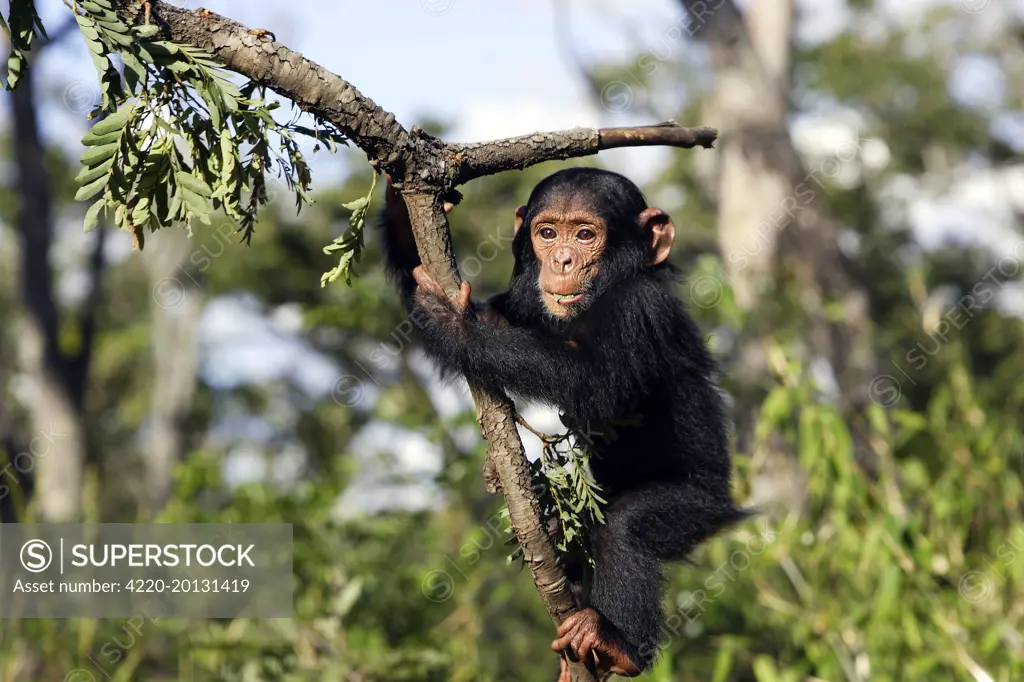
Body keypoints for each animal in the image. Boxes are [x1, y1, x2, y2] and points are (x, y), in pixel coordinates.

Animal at [380, 168, 749, 675]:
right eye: (548, 233)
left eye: (586, 235)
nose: (563, 259)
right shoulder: (526, 304)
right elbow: (499, 317)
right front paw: (401, 200)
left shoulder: (640, 306)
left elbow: (590, 380)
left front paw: (450, 324)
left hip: (699, 508)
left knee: (624, 528)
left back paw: (615, 643)